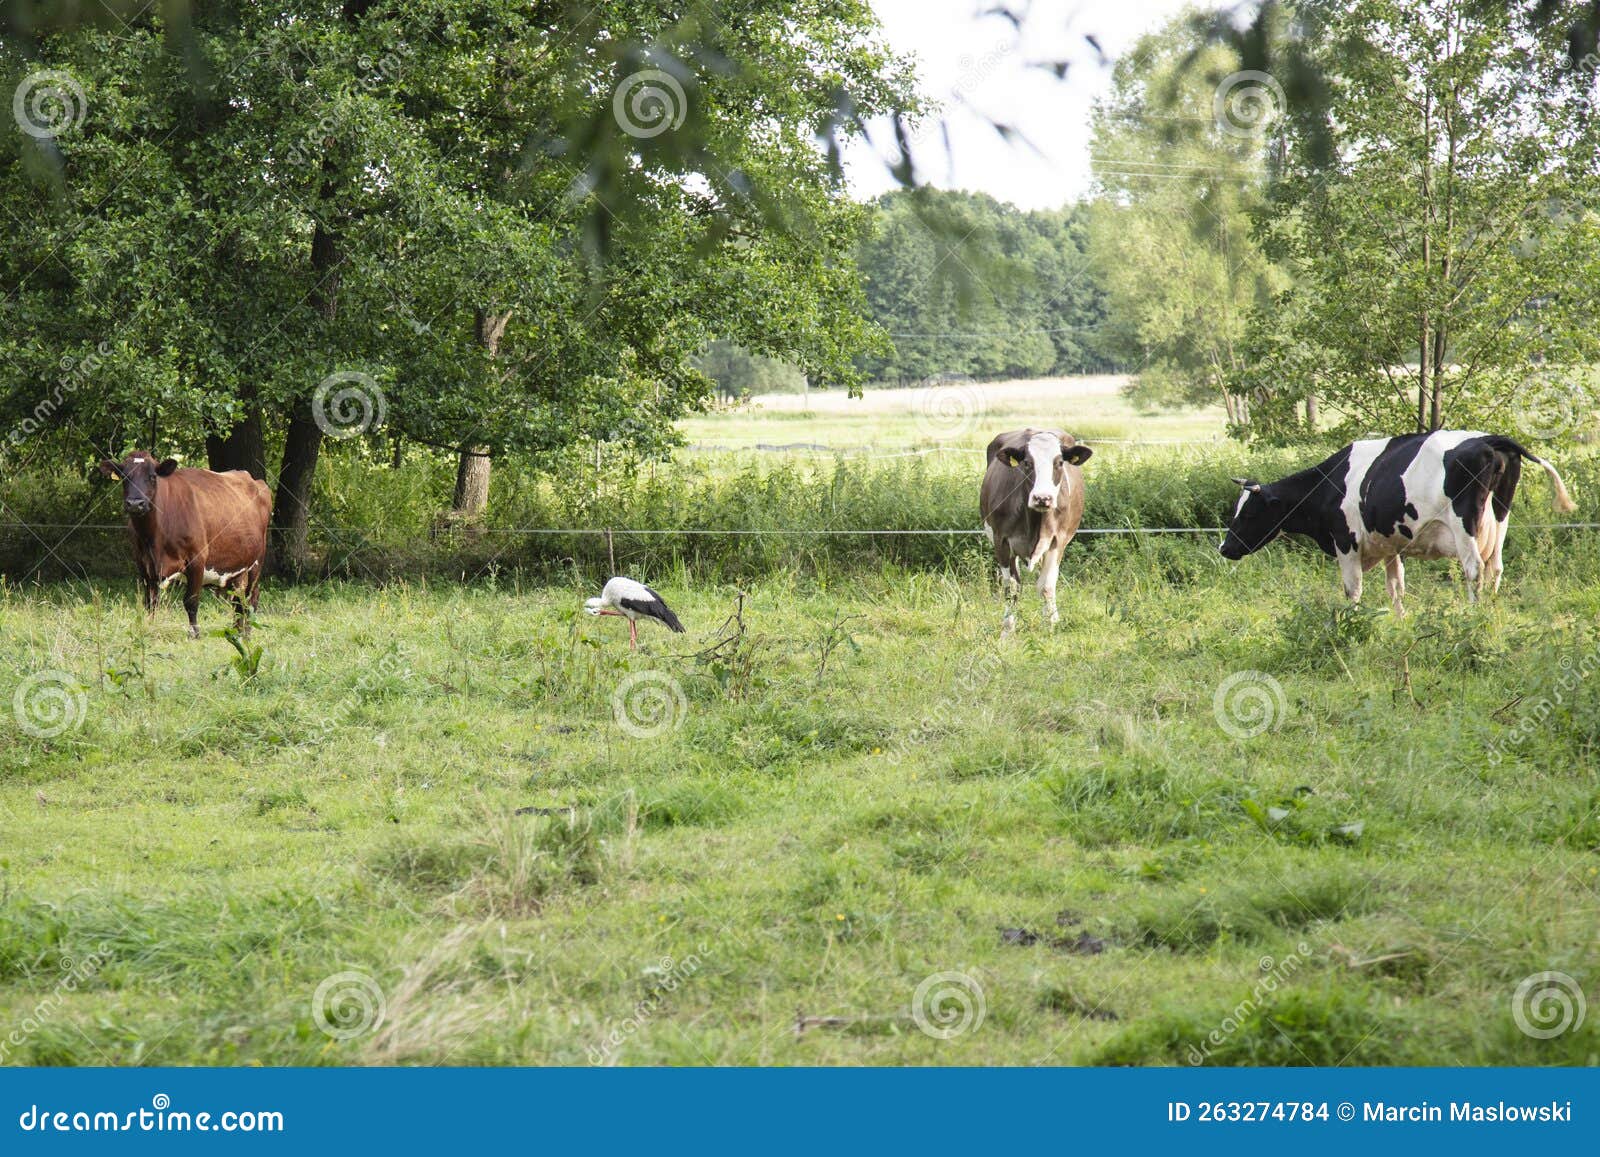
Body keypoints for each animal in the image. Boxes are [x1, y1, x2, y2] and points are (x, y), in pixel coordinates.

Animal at [98, 451, 273, 638]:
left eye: (152, 476)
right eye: (124, 477)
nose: (135, 504)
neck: (154, 539)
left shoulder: (197, 559)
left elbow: (191, 601)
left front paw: (194, 634)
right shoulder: (143, 564)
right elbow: (150, 602)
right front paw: (150, 627)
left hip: (256, 563)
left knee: (251, 597)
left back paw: (246, 633)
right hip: (237, 567)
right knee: (238, 600)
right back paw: (236, 632)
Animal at [979, 428, 1093, 633]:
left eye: (1059, 463)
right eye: (1027, 463)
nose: (1042, 498)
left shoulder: (1057, 541)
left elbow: (1046, 586)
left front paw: (1051, 625)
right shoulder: (1001, 541)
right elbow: (1012, 587)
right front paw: (1007, 630)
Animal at [1219, 431, 1575, 615]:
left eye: (1248, 513)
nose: (1224, 547)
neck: (1330, 484)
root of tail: (1491, 439)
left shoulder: (1346, 542)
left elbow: (1352, 589)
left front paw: (1352, 621)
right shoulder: (1391, 544)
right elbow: (1396, 586)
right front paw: (1400, 620)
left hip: (1465, 524)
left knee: (1474, 568)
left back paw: (1474, 613)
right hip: (1500, 518)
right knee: (1496, 567)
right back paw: (1491, 606)